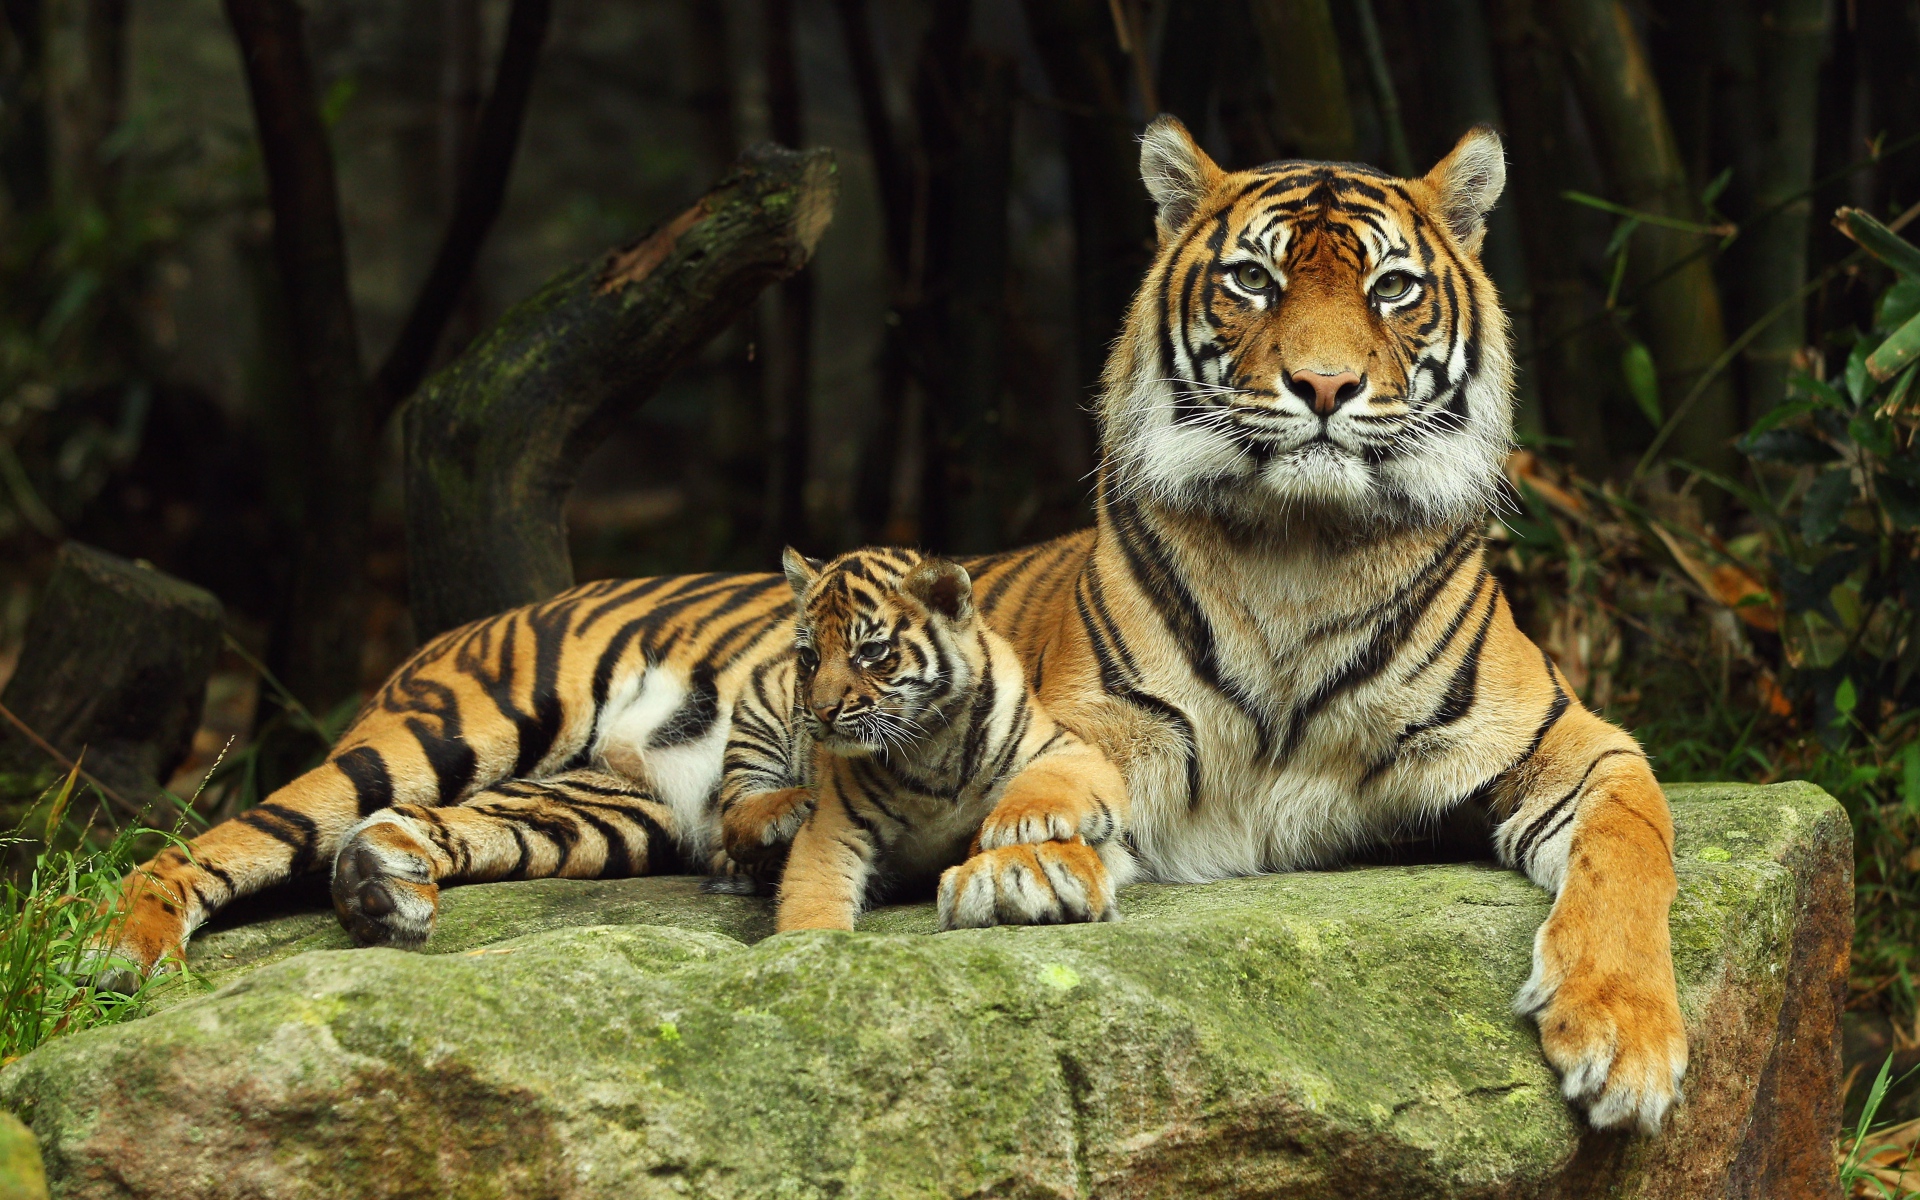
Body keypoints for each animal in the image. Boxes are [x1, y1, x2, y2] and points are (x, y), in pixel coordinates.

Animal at [101, 119, 1681, 1128]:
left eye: (1394, 291)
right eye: (1252, 280)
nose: (1327, 390)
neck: (1302, 551)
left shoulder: (1578, 745)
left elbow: (1630, 853)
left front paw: (1627, 1045)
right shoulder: (1100, 730)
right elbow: (1061, 799)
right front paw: (1029, 871)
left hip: (590, 811)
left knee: (427, 837)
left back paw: (397, 890)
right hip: (441, 729)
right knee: (225, 836)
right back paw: (129, 952)